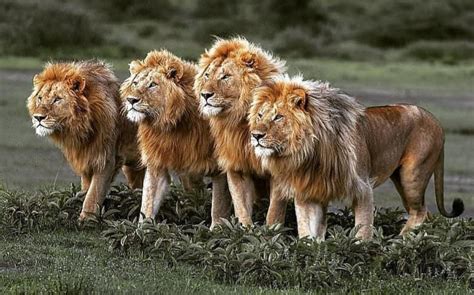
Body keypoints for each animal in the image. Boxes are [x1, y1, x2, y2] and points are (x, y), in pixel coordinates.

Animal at [27, 61, 145, 221]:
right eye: (39, 98)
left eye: (57, 99)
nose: (38, 117)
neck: (80, 129)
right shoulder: (85, 158)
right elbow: (86, 189)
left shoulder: (105, 159)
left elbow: (93, 193)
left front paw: (86, 220)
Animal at [120, 50, 233, 227]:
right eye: (135, 82)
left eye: (153, 85)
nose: (130, 100)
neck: (172, 125)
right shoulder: (157, 162)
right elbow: (148, 201)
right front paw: (143, 229)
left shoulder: (222, 167)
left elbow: (219, 204)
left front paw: (217, 228)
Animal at [193, 37, 288, 227]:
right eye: (207, 75)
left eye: (225, 76)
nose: (205, 95)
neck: (241, 120)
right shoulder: (237, 165)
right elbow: (240, 205)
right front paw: (245, 230)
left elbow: (275, 210)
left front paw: (271, 231)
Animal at [250, 75, 464, 242]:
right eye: (260, 115)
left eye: (278, 117)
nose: (255, 135)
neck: (307, 153)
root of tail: (436, 121)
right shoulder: (308, 191)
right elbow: (307, 230)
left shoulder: (362, 187)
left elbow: (363, 228)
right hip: (402, 180)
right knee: (421, 212)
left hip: (412, 175)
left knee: (420, 212)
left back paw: (400, 242)